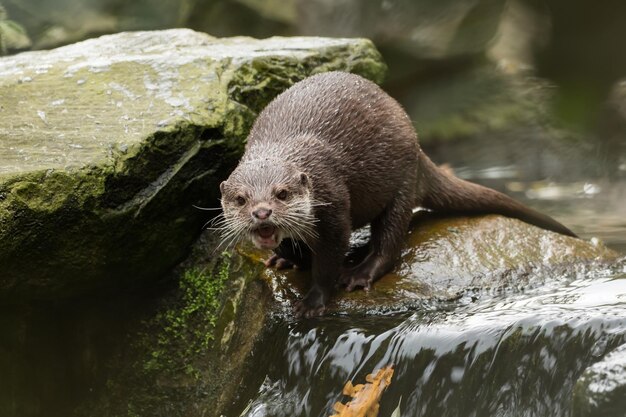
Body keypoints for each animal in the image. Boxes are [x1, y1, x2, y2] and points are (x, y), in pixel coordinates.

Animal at [217, 72, 572, 318]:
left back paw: (360, 273)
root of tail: (416, 144)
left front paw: (314, 301)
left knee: (389, 241)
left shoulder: (334, 205)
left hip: (401, 185)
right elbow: (291, 246)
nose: (262, 212)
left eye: (282, 193)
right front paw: (288, 258)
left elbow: (329, 260)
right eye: (241, 199)